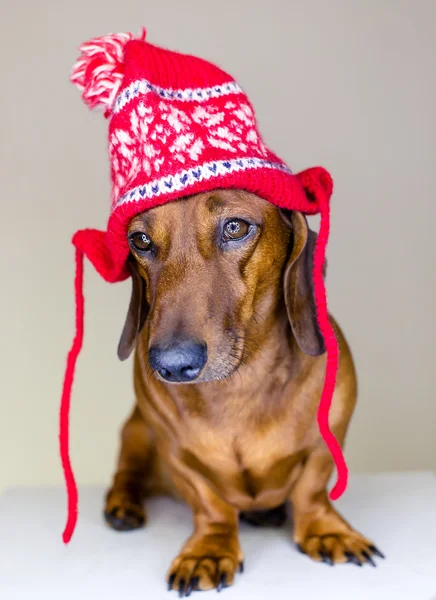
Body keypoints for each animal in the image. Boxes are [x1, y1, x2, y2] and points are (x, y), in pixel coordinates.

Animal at [102, 188, 382, 596]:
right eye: (140, 240)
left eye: (235, 227)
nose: (172, 365)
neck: (238, 385)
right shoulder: (176, 454)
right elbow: (210, 504)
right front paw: (208, 551)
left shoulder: (328, 439)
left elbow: (311, 490)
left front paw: (328, 531)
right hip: (135, 431)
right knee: (126, 472)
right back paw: (122, 506)